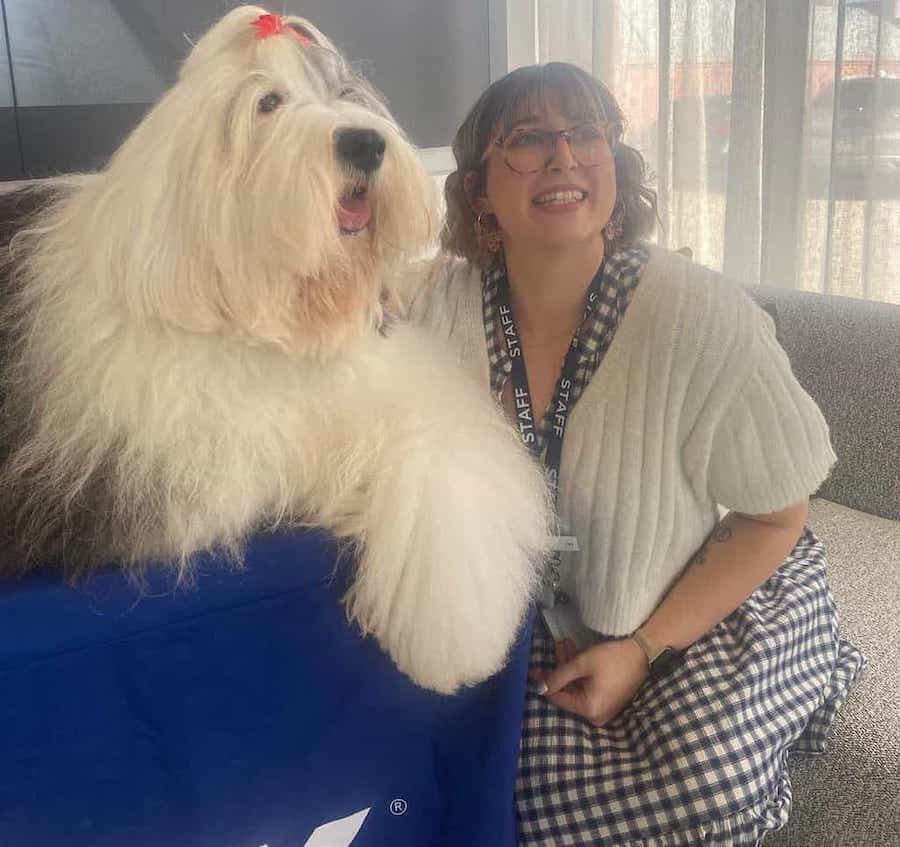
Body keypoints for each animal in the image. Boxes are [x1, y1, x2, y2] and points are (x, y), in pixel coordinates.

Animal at [0, 8, 552, 696]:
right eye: (268, 103)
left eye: (345, 92)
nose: (364, 144)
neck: (271, 318)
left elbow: (443, 453)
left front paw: (457, 636)